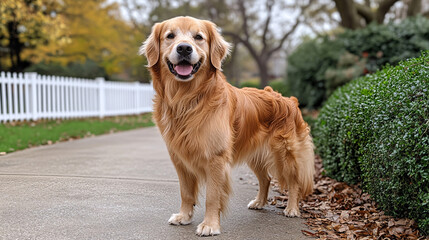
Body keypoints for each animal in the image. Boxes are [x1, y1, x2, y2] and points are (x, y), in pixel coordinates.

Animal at [142, 16, 312, 236]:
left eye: (198, 37)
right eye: (170, 36)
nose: (184, 49)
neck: (187, 101)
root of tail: (289, 100)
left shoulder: (216, 158)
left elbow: (213, 196)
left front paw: (210, 225)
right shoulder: (179, 158)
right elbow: (186, 192)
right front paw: (184, 216)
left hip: (285, 153)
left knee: (293, 181)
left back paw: (292, 208)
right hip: (254, 154)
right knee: (265, 178)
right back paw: (259, 202)